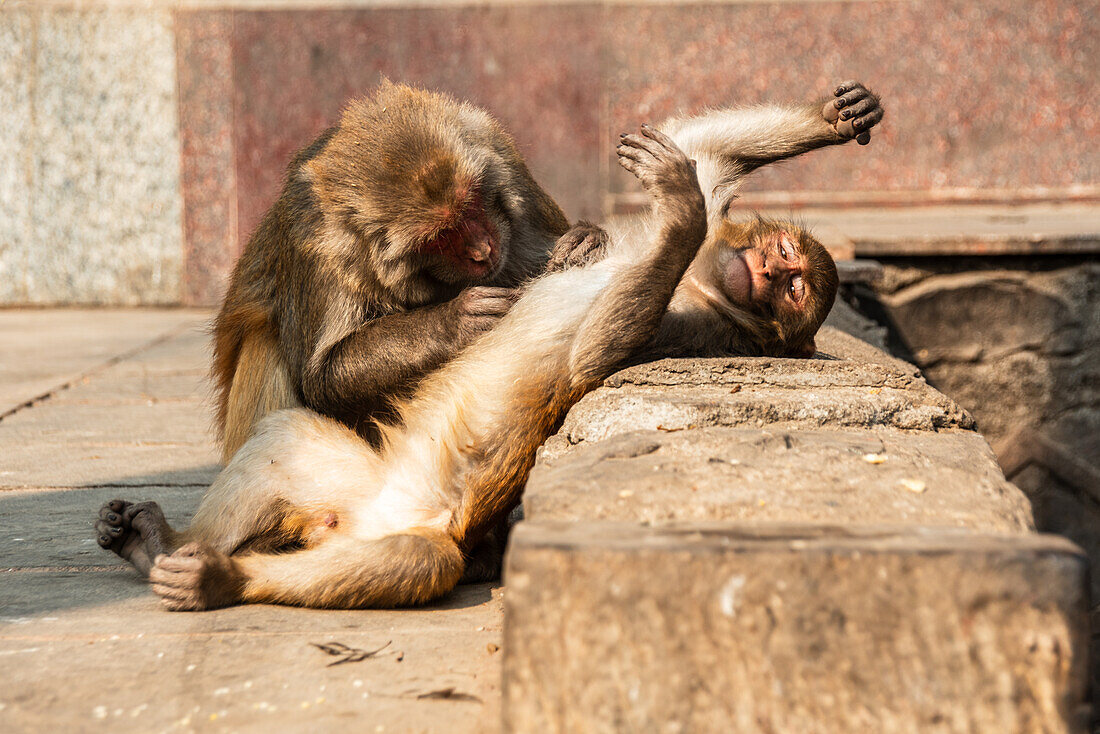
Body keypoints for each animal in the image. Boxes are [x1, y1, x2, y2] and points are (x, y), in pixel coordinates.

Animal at [212, 80, 611, 459]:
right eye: (441, 236)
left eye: (471, 204)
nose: (482, 251)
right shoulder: (316, 243)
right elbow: (322, 374)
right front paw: (455, 319)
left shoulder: (505, 163)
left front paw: (586, 241)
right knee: (265, 342)